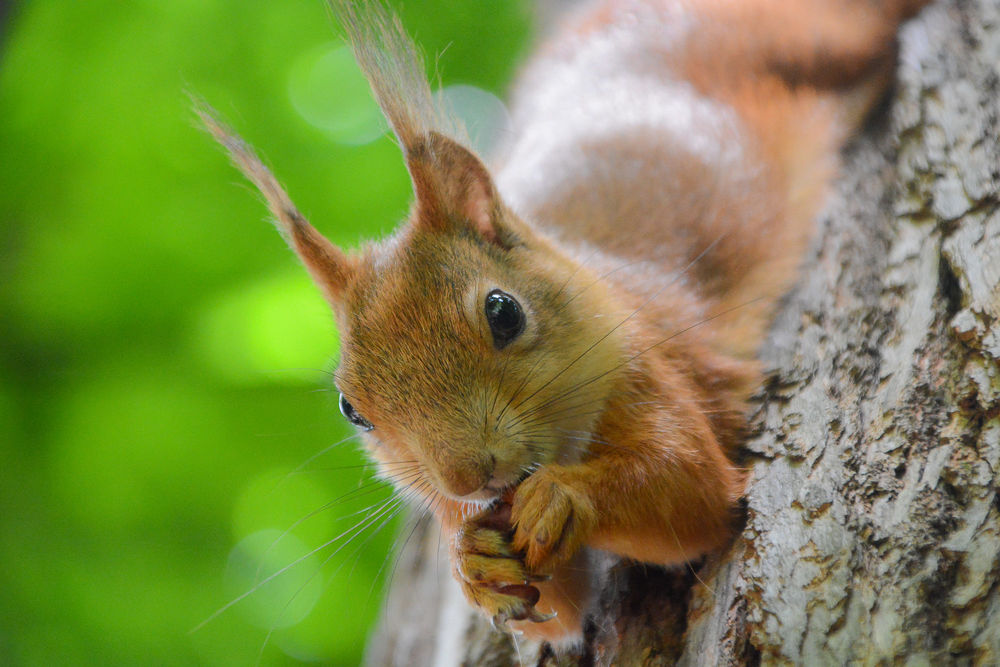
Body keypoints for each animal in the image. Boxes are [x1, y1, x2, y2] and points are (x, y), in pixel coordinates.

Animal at [198, 0, 932, 648]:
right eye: (351, 407)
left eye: (503, 312)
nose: (467, 476)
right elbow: (557, 612)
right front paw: (472, 561)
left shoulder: (649, 365)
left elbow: (692, 488)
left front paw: (565, 498)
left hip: (819, 34)